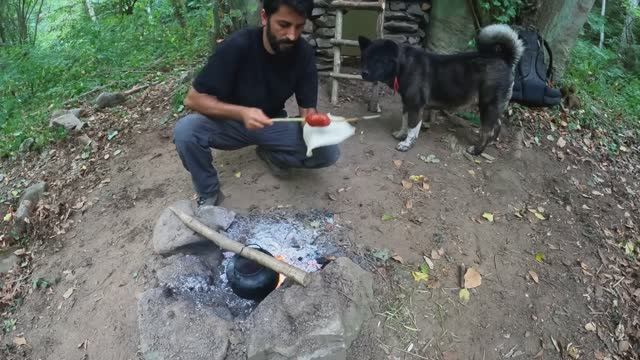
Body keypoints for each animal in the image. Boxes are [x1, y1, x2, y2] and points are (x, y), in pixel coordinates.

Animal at [358, 24, 524, 154]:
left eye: (378, 60)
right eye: (364, 58)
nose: (363, 73)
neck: (403, 64)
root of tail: (504, 59)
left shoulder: (415, 106)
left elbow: (412, 127)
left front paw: (406, 144)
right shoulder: (407, 103)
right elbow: (405, 122)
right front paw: (401, 134)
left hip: (487, 106)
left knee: (487, 131)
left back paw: (477, 150)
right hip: (492, 107)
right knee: (497, 125)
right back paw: (491, 143)